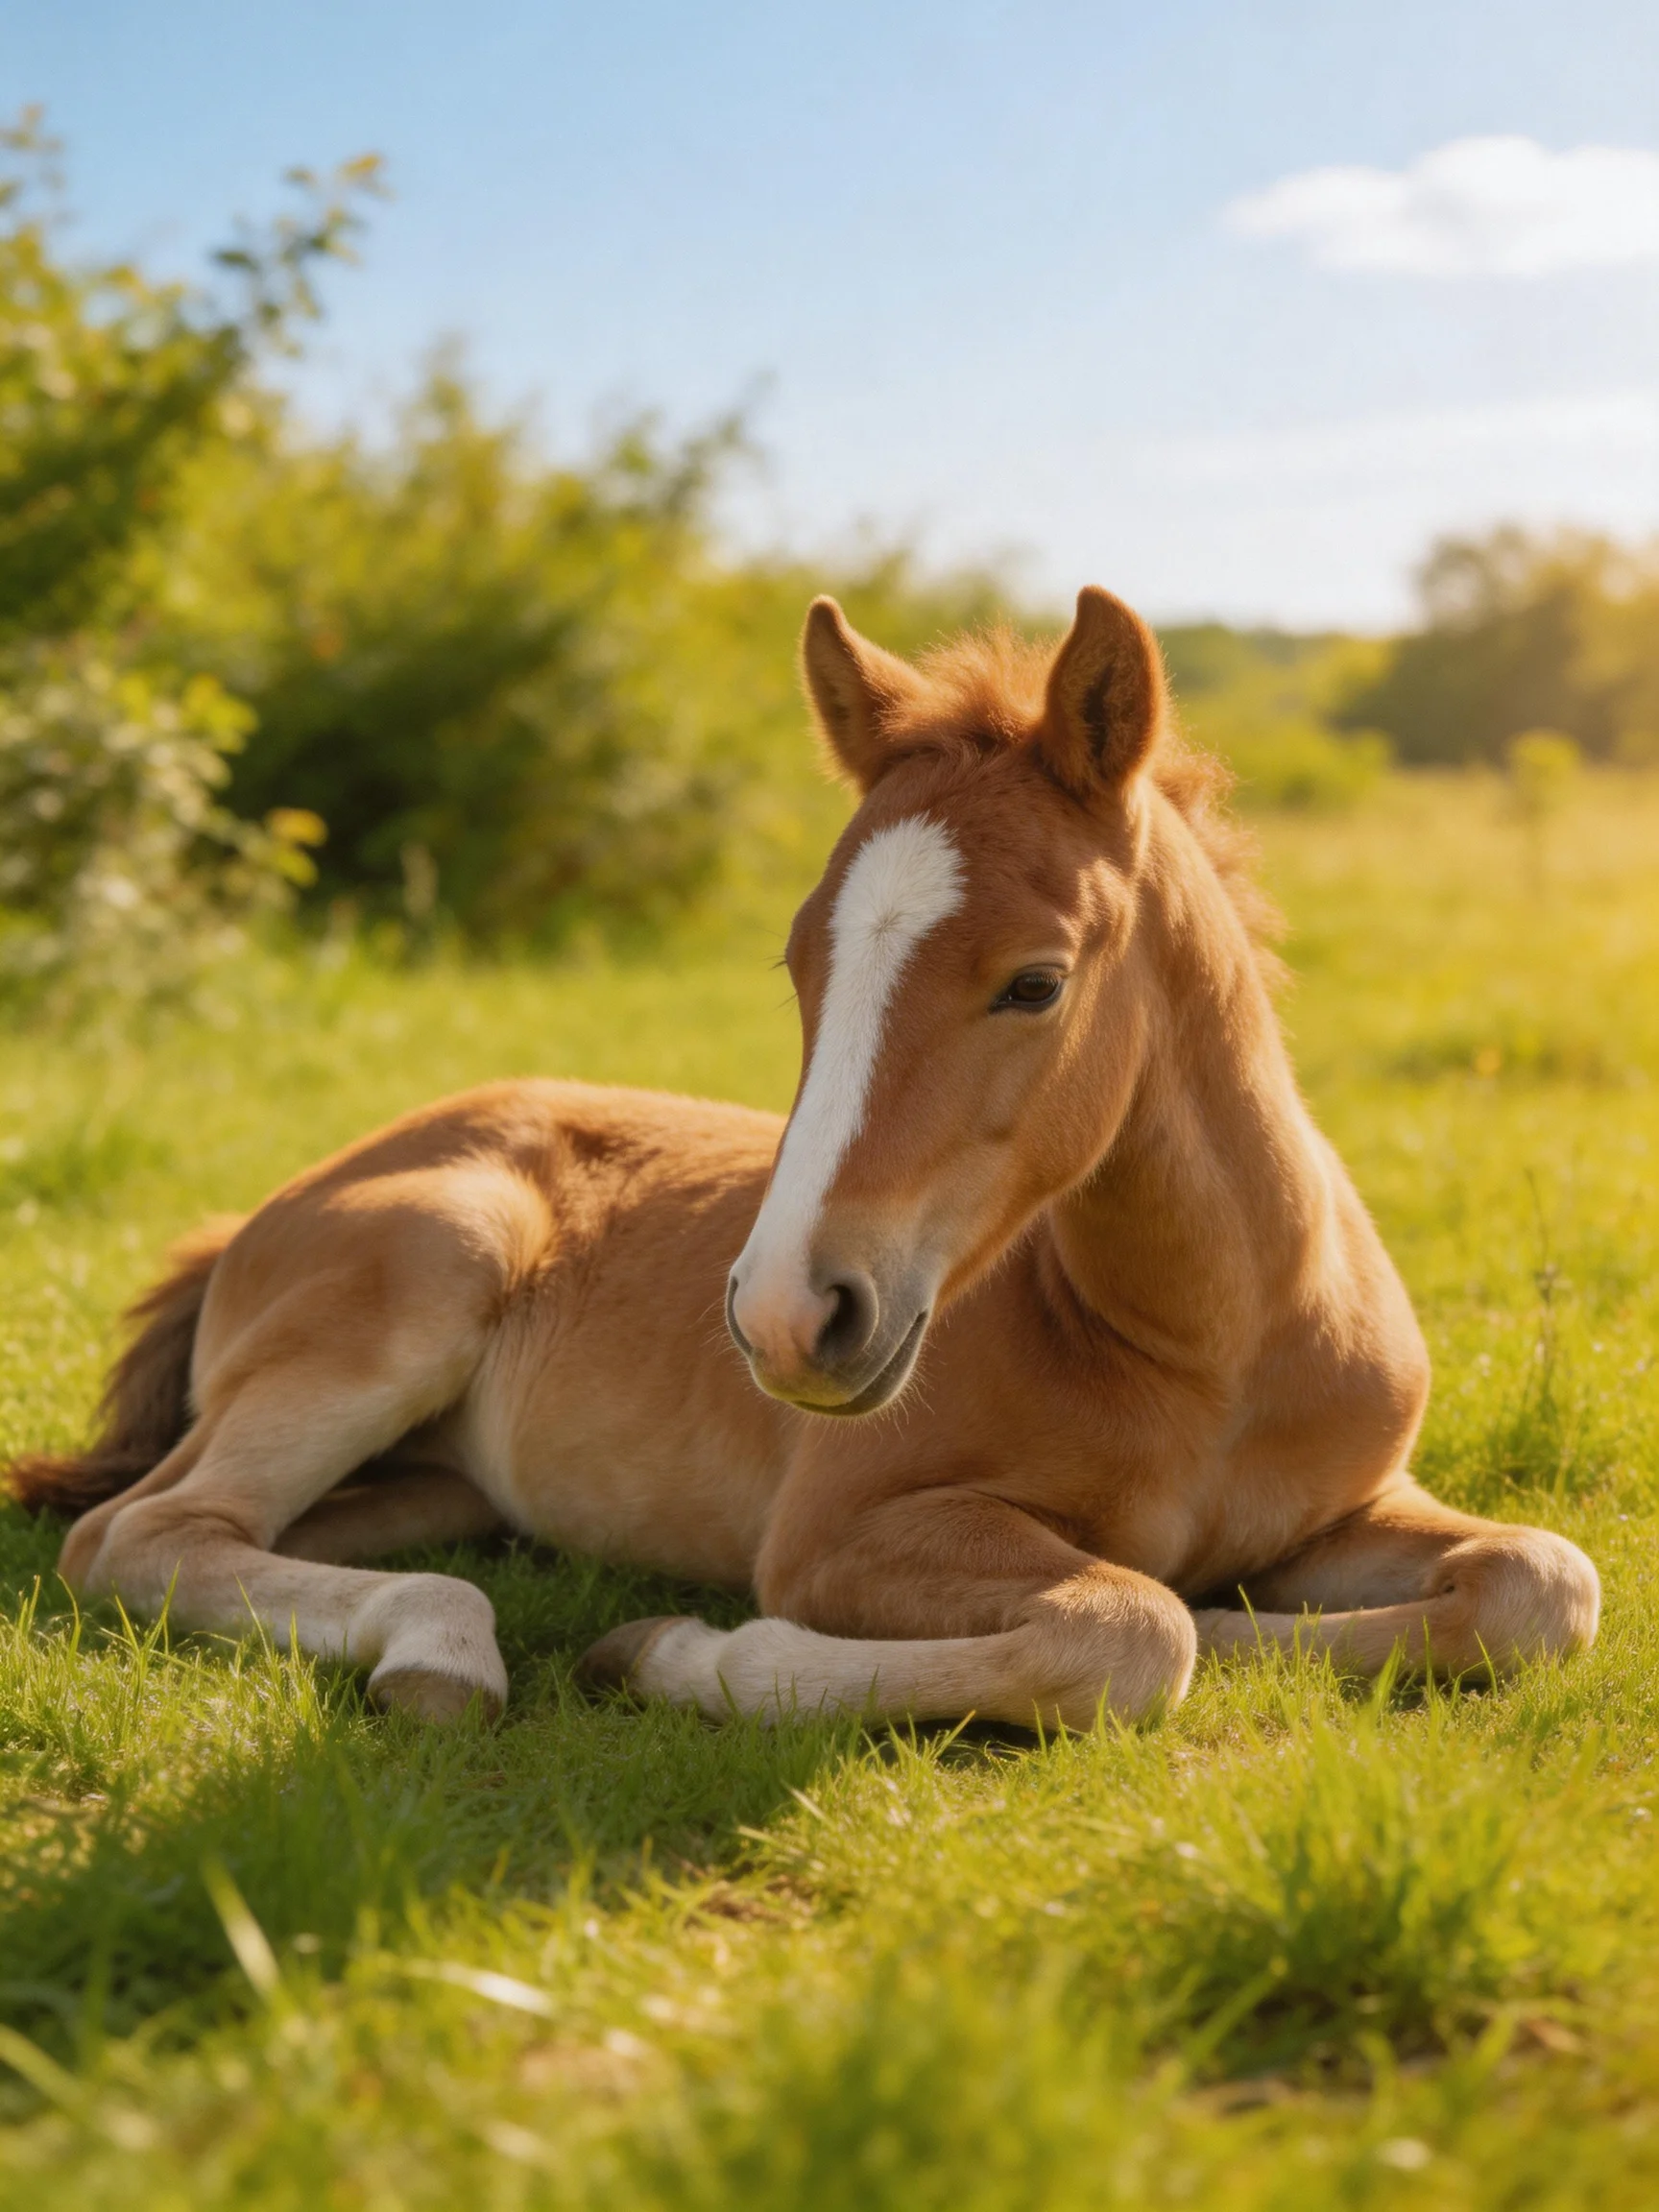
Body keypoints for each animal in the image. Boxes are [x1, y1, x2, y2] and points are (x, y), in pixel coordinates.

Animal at [7, 587, 1600, 1727]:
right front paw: (670, 1655)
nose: (787, 1315)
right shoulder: (838, 1542)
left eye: (1036, 982)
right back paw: (444, 1651)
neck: (1211, 1346)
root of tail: (263, 1211)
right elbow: (1131, 1629)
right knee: (144, 1537)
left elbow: (1541, 1581)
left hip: (439, 1481)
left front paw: (1258, 1617)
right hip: (421, 1278)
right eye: (797, 965)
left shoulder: (1348, 1505)